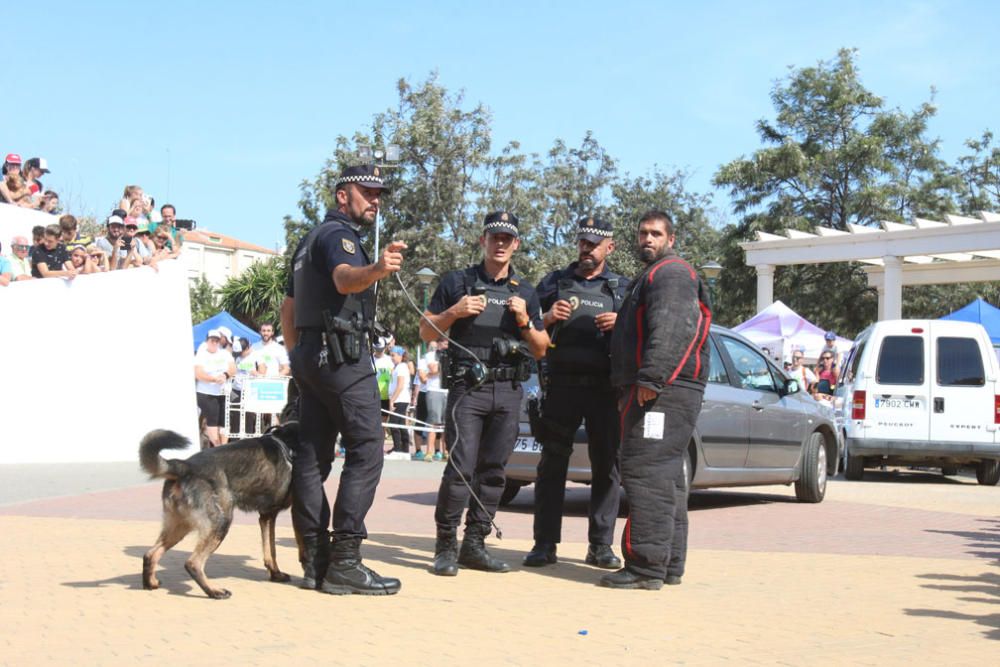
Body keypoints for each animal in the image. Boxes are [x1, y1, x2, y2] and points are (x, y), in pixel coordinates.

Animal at [140, 422, 296, 600]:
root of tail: (185, 466)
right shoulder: (271, 515)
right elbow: (274, 548)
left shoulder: (266, 516)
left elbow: (270, 550)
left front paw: (275, 574)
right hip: (220, 523)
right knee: (193, 563)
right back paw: (214, 591)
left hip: (180, 526)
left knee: (151, 554)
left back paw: (150, 583)